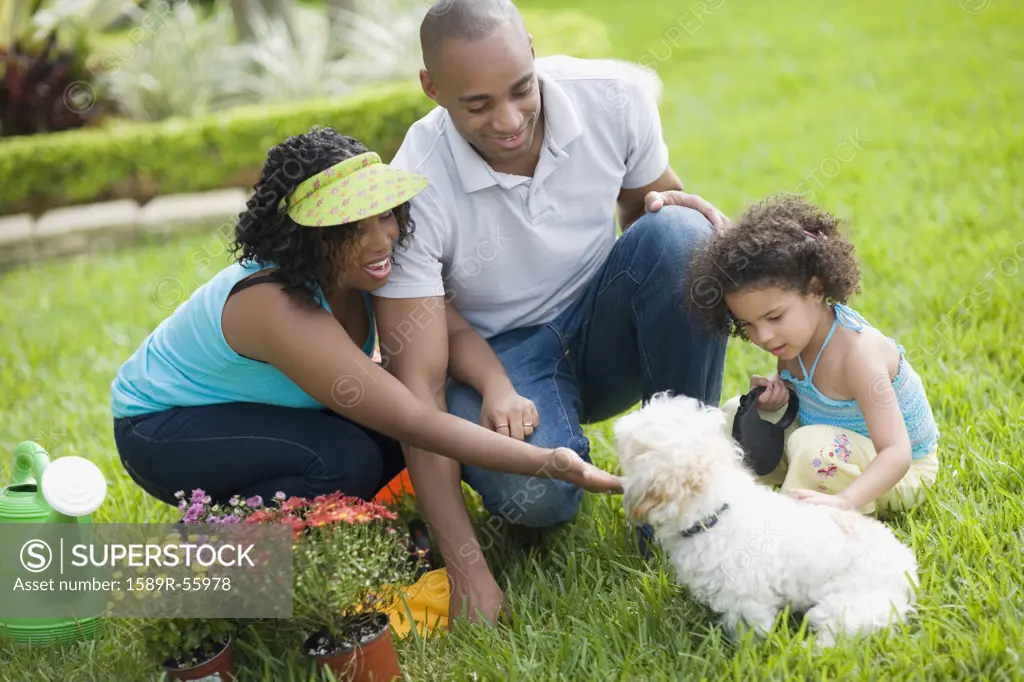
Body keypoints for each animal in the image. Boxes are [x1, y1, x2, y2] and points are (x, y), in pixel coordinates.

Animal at [610, 391, 917, 647]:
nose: (620, 424)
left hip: (848, 607)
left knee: (834, 638)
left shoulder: (746, 599)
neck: (716, 512)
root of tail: (909, 572)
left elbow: (749, 631)